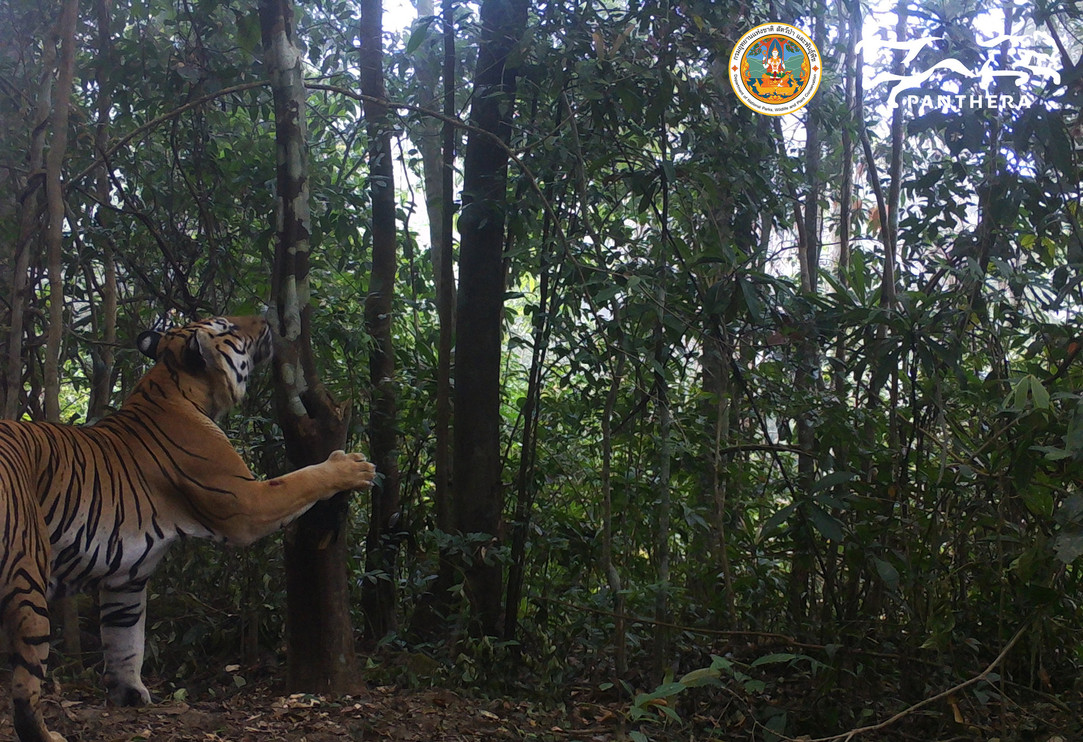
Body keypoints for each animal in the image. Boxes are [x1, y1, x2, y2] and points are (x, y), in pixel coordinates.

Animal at [0, 315, 376, 742]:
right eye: (228, 326)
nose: (265, 319)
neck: (177, 385)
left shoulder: (126, 579)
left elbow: (125, 639)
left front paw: (131, 697)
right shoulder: (245, 503)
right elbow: (303, 479)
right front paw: (352, 467)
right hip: (28, 576)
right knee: (25, 686)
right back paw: (47, 734)